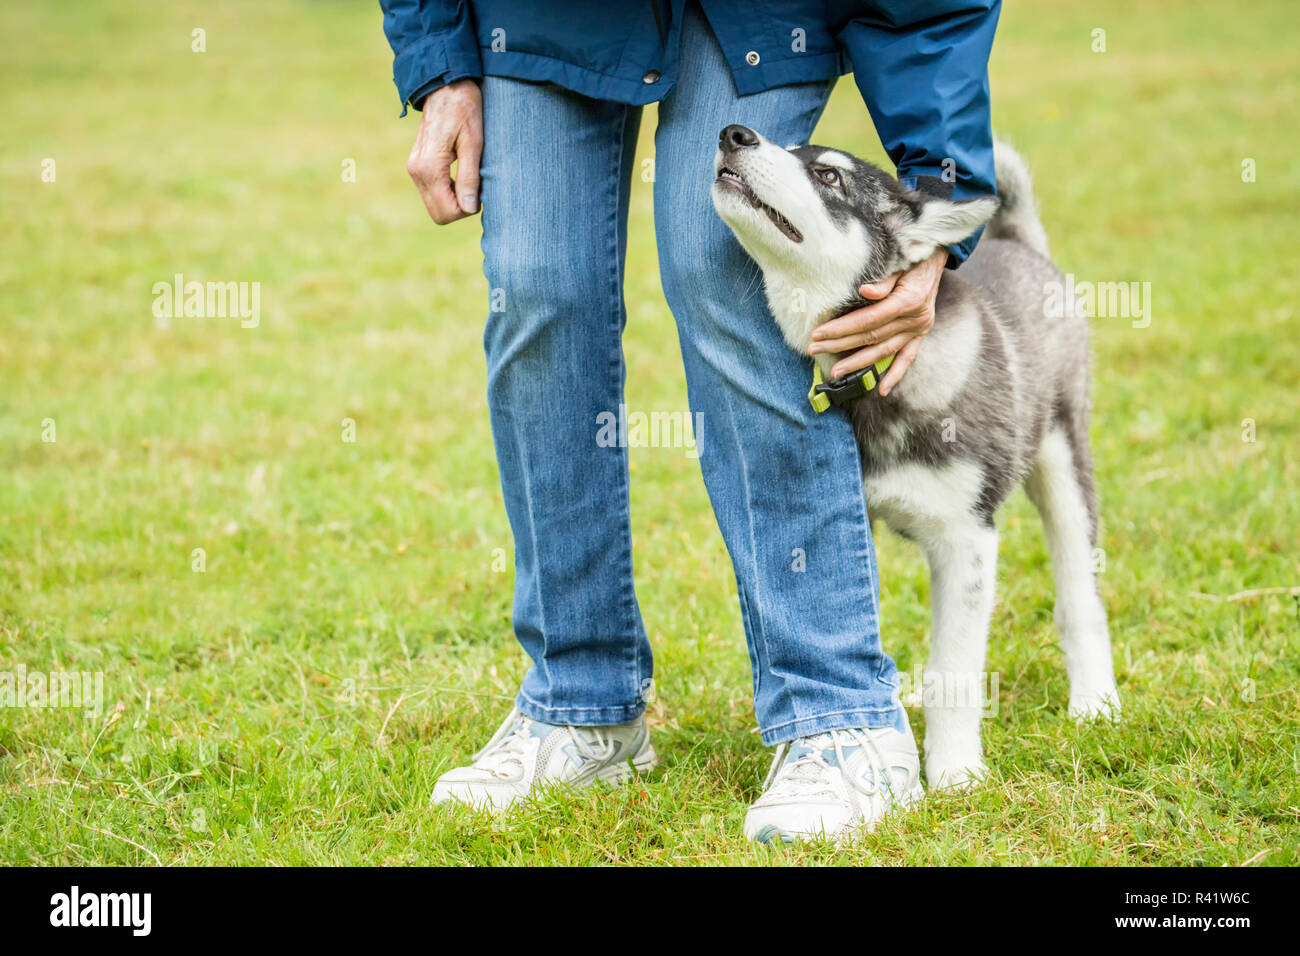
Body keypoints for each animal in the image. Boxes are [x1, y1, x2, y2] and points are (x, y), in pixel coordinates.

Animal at [712, 123, 1118, 790]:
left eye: (828, 176)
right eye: (788, 148)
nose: (733, 133)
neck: (873, 380)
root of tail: (1013, 242)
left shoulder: (968, 538)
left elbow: (954, 671)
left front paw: (955, 772)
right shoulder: (854, 524)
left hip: (1063, 459)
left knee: (1078, 597)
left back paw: (1095, 702)